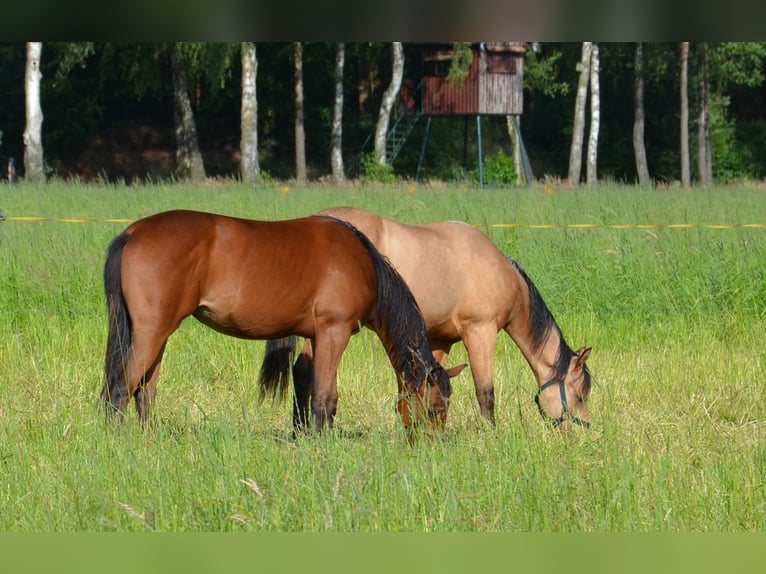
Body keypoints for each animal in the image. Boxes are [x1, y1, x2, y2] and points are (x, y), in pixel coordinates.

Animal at [102, 210, 462, 436]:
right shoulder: (335, 331)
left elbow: (318, 392)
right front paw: (321, 443)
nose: (430, 445)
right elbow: (324, 397)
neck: (363, 263)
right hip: (152, 332)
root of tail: (133, 232)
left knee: (145, 391)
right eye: (434, 408)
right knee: (121, 387)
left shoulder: (318, 335)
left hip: (157, 334)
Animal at [264, 207, 592, 432]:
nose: (580, 436)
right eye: (580, 395)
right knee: (305, 370)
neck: (500, 273)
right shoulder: (480, 332)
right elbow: (485, 391)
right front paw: (490, 435)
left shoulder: (440, 340)